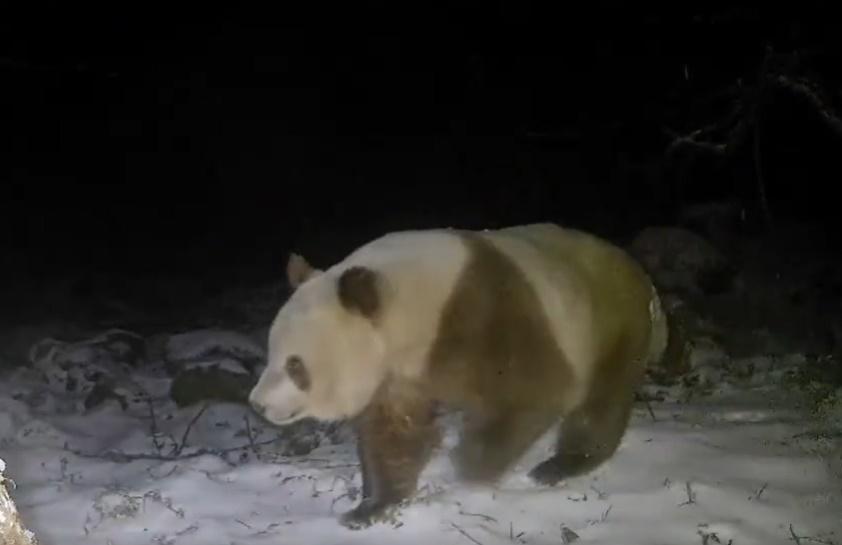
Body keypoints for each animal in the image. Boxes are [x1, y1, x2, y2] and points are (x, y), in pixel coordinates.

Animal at [248, 223, 669, 529]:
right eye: (270, 351)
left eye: (295, 365)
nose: (258, 404)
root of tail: (645, 280)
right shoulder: (399, 371)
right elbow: (393, 434)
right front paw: (370, 508)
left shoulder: (488, 314)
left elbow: (535, 390)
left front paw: (469, 468)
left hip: (610, 322)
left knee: (600, 400)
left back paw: (559, 465)